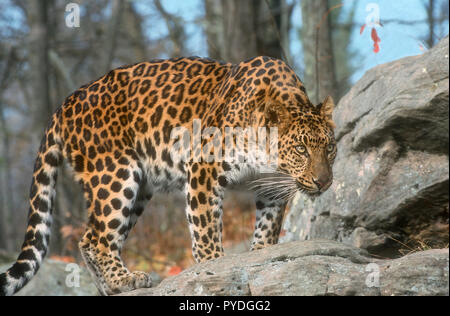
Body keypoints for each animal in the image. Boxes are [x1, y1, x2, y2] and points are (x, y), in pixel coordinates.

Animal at [0, 55, 336, 296]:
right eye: (301, 149)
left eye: (330, 148)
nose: (324, 181)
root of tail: (66, 102)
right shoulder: (203, 169)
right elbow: (206, 233)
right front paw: (216, 269)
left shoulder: (272, 187)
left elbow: (267, 227)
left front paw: (260, 255)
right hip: (115, 174)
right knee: (98, 239)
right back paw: (125, 280)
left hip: (139, 188)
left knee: (87, 238)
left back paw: (110, 287)